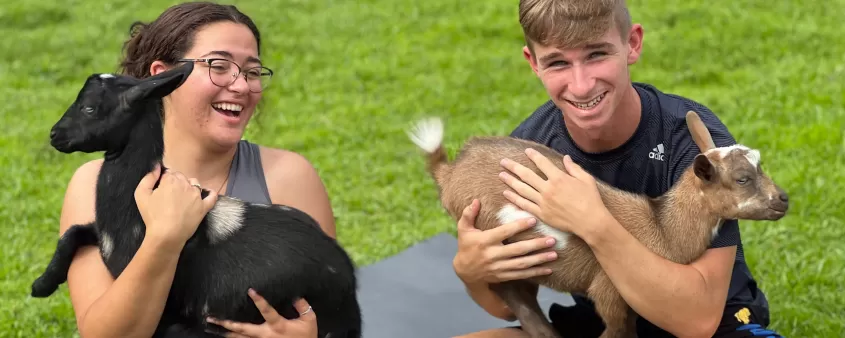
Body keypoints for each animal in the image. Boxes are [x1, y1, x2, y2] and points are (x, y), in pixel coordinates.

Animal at [31, 62, 362, 336]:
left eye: (89, 108)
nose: (54, 135)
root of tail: (350, 287)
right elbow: (72, 232)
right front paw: (42, 285)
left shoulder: (169, 311)